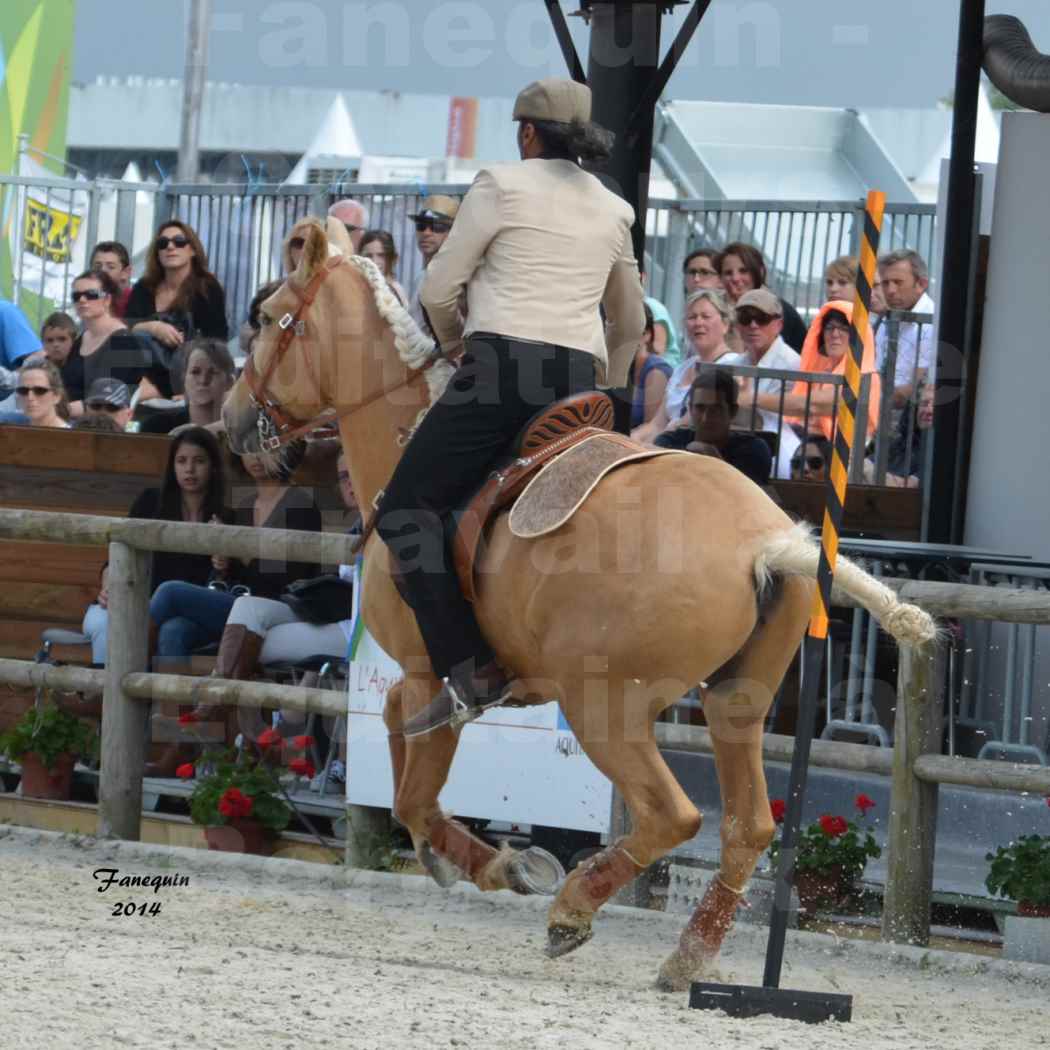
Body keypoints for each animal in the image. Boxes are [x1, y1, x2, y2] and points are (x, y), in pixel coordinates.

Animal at [223, 217, 936, 986]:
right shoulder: (429, 682)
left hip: (606, 710)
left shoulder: (426, 672)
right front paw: (447, 857)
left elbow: (414, 792)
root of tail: (769, 543)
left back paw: (573, 906)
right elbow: (394, 743)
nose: (233, 419)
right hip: (734, 704)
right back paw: (687, 956)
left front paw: (502, 865)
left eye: (267, 317)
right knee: (749, 827)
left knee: (673, 817)